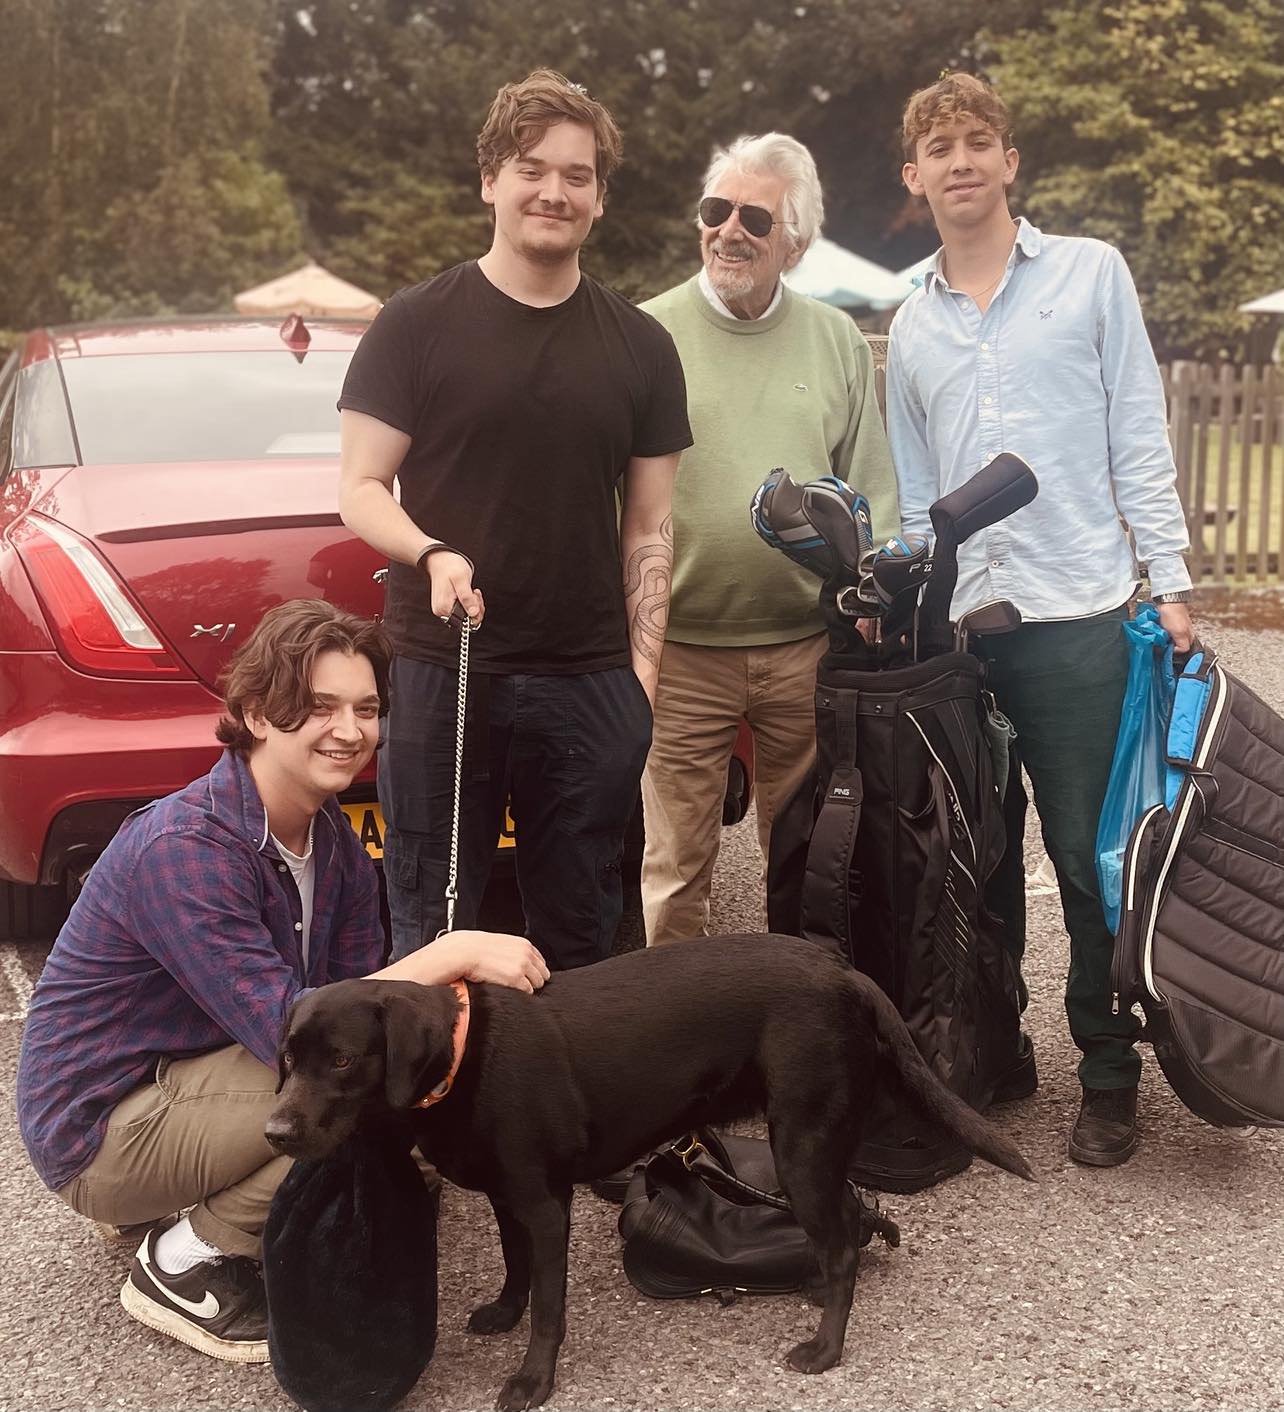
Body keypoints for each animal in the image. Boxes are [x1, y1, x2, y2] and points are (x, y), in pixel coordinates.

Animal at [262, 931, 1033, 1406]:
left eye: (342, 1060)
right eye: (290, 1058)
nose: (273, 1132)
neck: (460, 1055)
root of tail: (844, 971)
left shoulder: (546, 1206)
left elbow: (550, 1306)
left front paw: (533, 1380)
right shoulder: (510, 1198)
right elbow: (515, 1269)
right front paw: (503, 1313)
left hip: (801, 1143)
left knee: (842, 1243)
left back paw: (824, 1348)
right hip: (813, 1146)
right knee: (845, 1223)